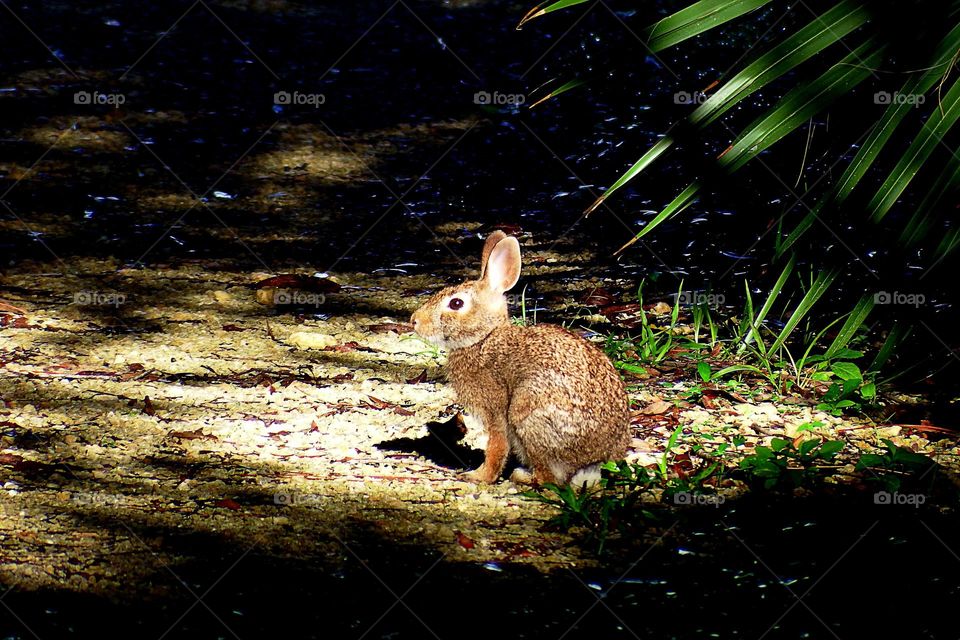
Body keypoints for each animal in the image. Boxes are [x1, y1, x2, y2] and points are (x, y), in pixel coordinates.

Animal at [410, 231, 632, 484]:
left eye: (456, 303)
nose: (414, 320)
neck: (483, 338)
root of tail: (596, 461)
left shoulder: (495, 409)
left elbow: (497, 446)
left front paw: (478, 476)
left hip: (526, 413)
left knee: (547, 478)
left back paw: (521, 476)